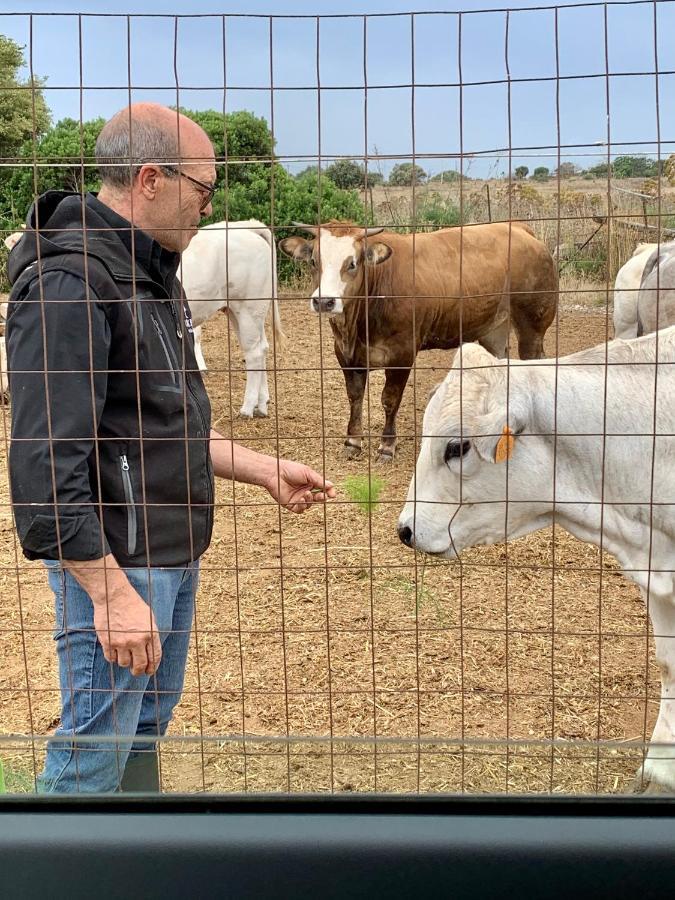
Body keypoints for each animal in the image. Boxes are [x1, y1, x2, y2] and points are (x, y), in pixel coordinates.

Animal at [178, 220, 284, 416]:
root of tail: (246, 225)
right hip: (243, 312)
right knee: (262, 347)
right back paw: (261, 403)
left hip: (248, 307)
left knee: (254, 353)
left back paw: (247, 408)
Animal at [278, 220, 556, 464]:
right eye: (314, 261)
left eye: (352, 263)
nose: (324, 301)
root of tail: (519, 228)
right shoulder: (346, 354)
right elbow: (355, 396)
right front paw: (352, 443)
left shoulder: (402, 353)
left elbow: (389, 399)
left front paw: (386, 447)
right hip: (494, 328)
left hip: (533, 324)